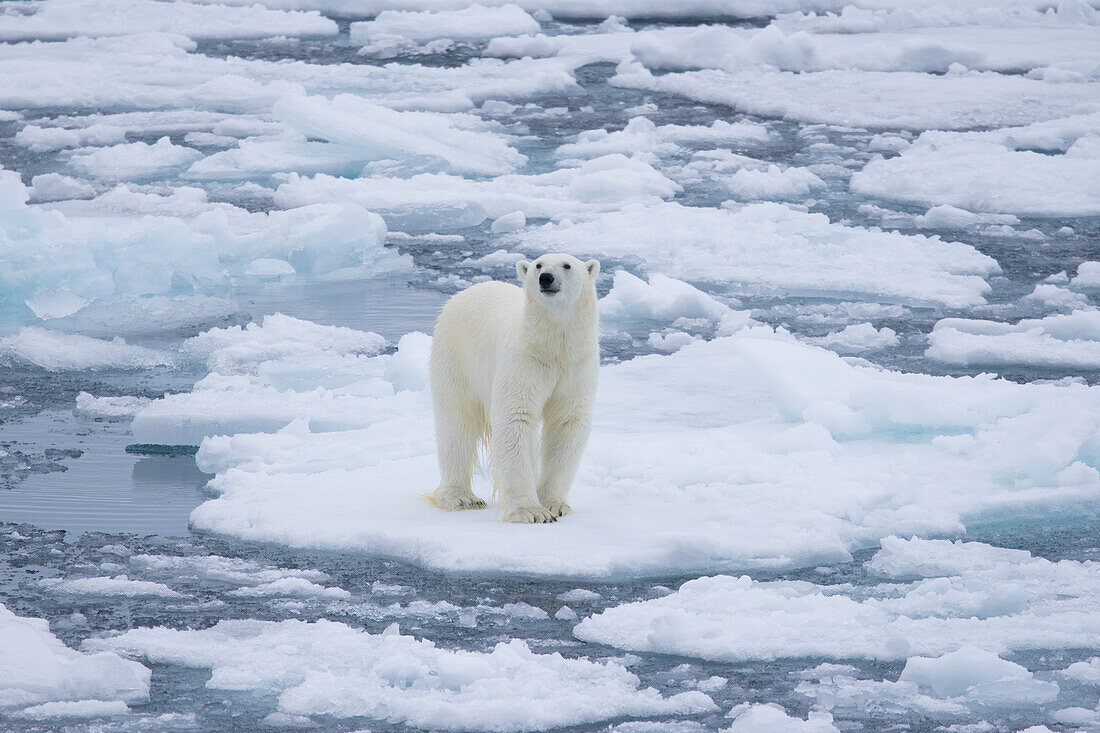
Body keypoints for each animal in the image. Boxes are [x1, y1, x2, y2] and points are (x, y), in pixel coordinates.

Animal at [429, 250, 602, 519]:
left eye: (567, 265)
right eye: (538, 264)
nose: (546, 278)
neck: (554, 346)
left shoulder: (577, 365)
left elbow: (566, 421)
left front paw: (553, 503)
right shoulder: (525, 358)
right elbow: (516, 415)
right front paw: (530, 511)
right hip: (456, 356)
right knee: (457, 422)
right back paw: (461, 497)